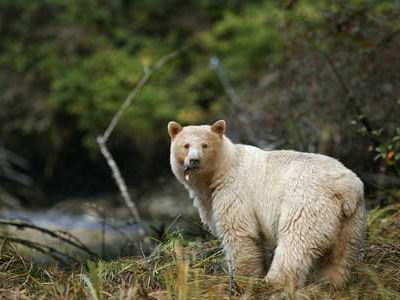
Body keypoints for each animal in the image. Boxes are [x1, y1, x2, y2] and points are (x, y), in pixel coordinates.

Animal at [168, 119, 366, 288]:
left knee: (296, 241)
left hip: (307, 202)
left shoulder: (235, 190)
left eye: (205, 145)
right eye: (186, 145)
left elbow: (238, 232)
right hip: (350, 217)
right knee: (341, 252)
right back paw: (330, 281)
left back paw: (275, 280)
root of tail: (346, 188)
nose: (194, 160)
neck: (222, 169)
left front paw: (243, 277)